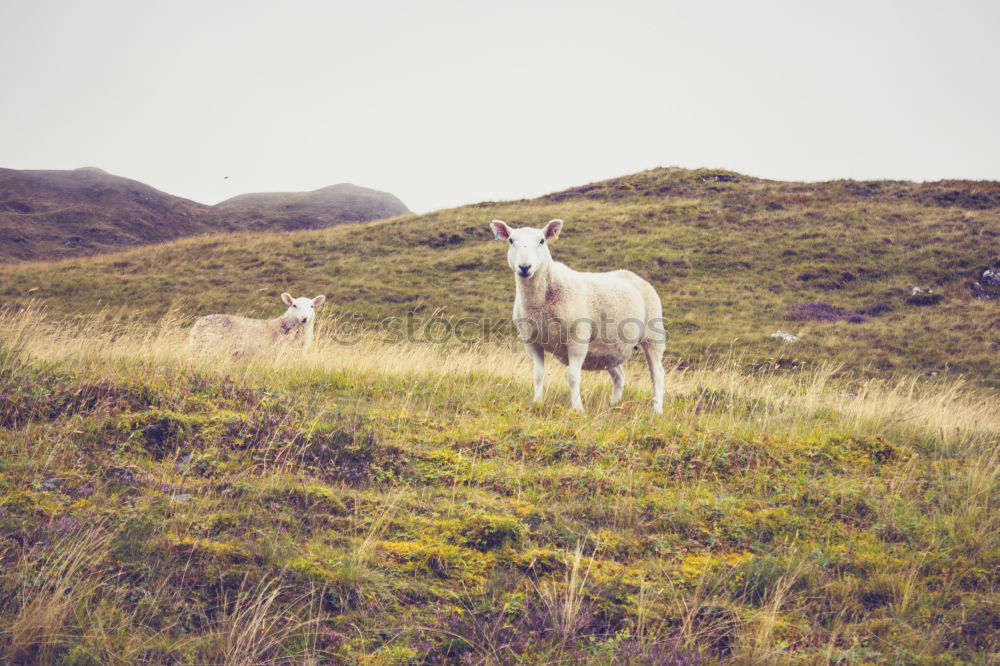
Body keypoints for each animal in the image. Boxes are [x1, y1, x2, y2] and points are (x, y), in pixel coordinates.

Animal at [490, 220, 664, 412]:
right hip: (608, 348)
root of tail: (631, 275)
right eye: (511, 240)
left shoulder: (577, 339)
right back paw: (614, 406)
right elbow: (538, 375)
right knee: (619, 376)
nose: (524, 267)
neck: (539, 303)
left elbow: (573, 377)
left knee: (657, 374)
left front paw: (577, 408)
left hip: (653, 336)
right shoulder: (531, 342)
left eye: (542, 240)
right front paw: (537, 403)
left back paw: (657, 410)